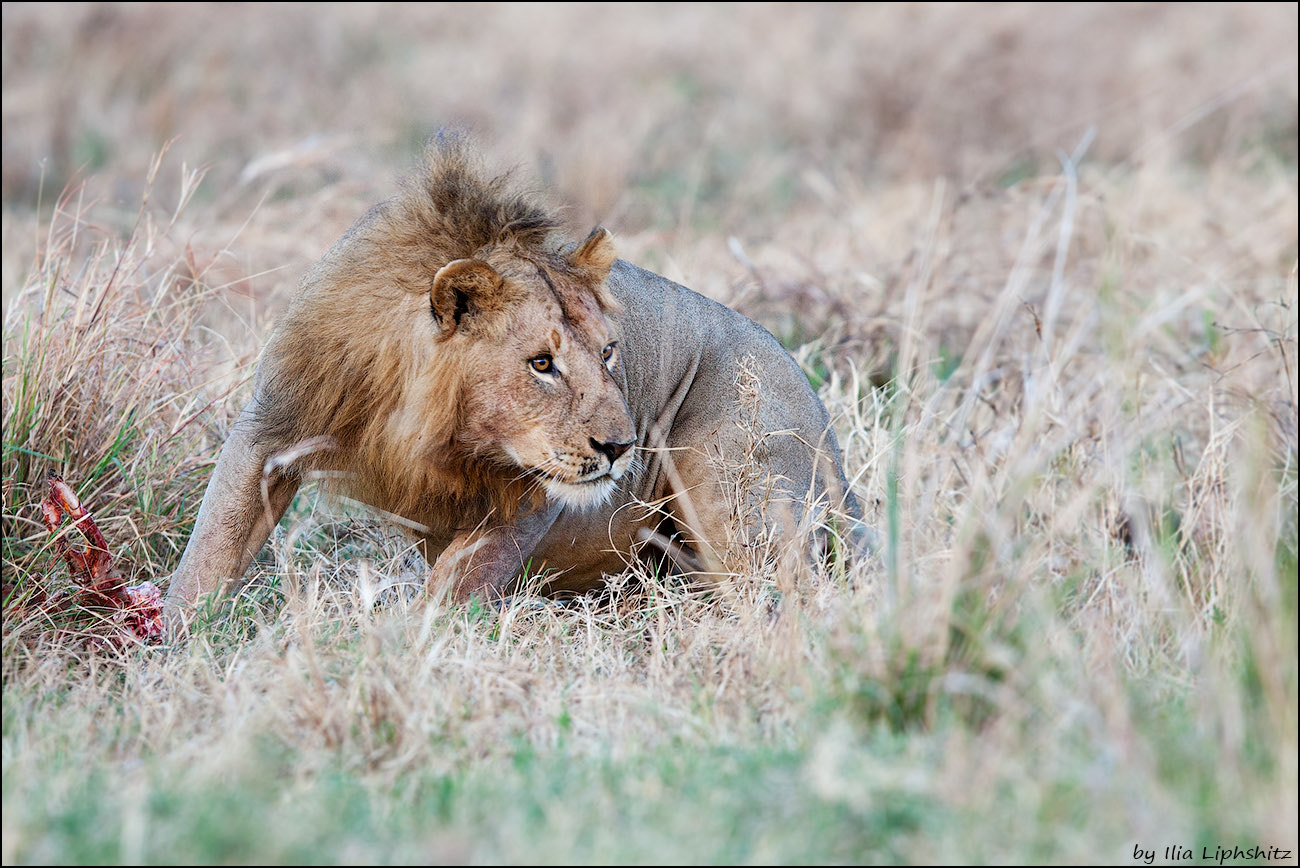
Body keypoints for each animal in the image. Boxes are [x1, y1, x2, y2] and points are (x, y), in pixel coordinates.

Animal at [162, 139, 868, 621]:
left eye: (609, 353)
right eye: (541, 364)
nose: (621, 448)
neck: (428, 425)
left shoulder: (529, 496)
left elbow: (456, 582)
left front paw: (401, 647)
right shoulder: (273, 426)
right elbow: (211, 552)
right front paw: (179, 641)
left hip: (739, 496)